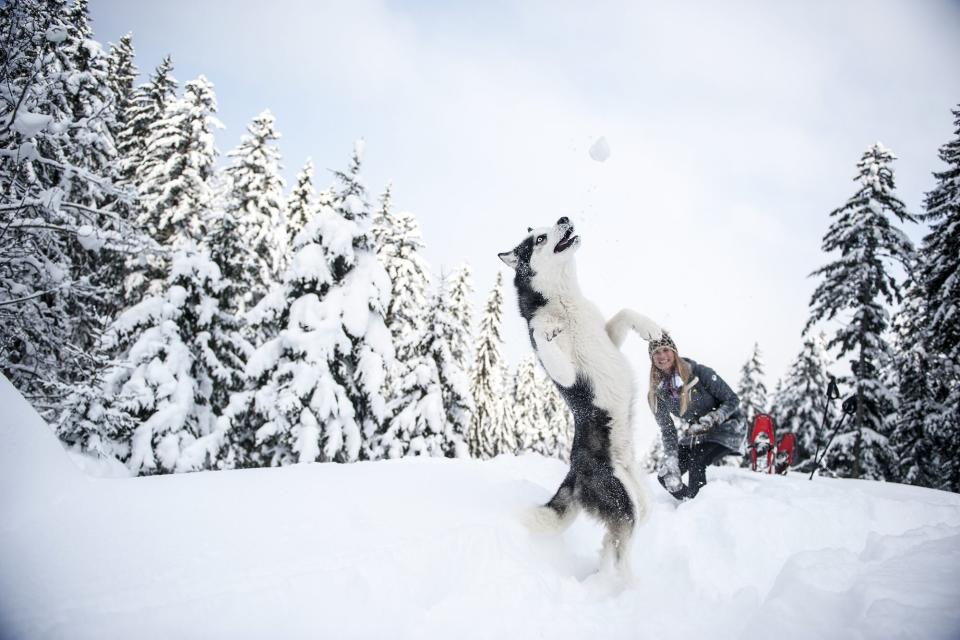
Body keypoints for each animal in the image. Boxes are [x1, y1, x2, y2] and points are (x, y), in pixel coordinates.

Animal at [502, 218, 660, 576]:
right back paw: (624, 585)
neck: (565, 302)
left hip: (639, 499)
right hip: (622, 501)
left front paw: (651, 328)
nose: (564, 218)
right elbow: (543, 340)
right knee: (620, 551)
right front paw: (547, 332)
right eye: (540, 239)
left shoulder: (609, 336)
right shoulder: (565, 373)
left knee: (615, 538)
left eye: (549, 225)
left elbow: (624, 312)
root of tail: (573, 473)